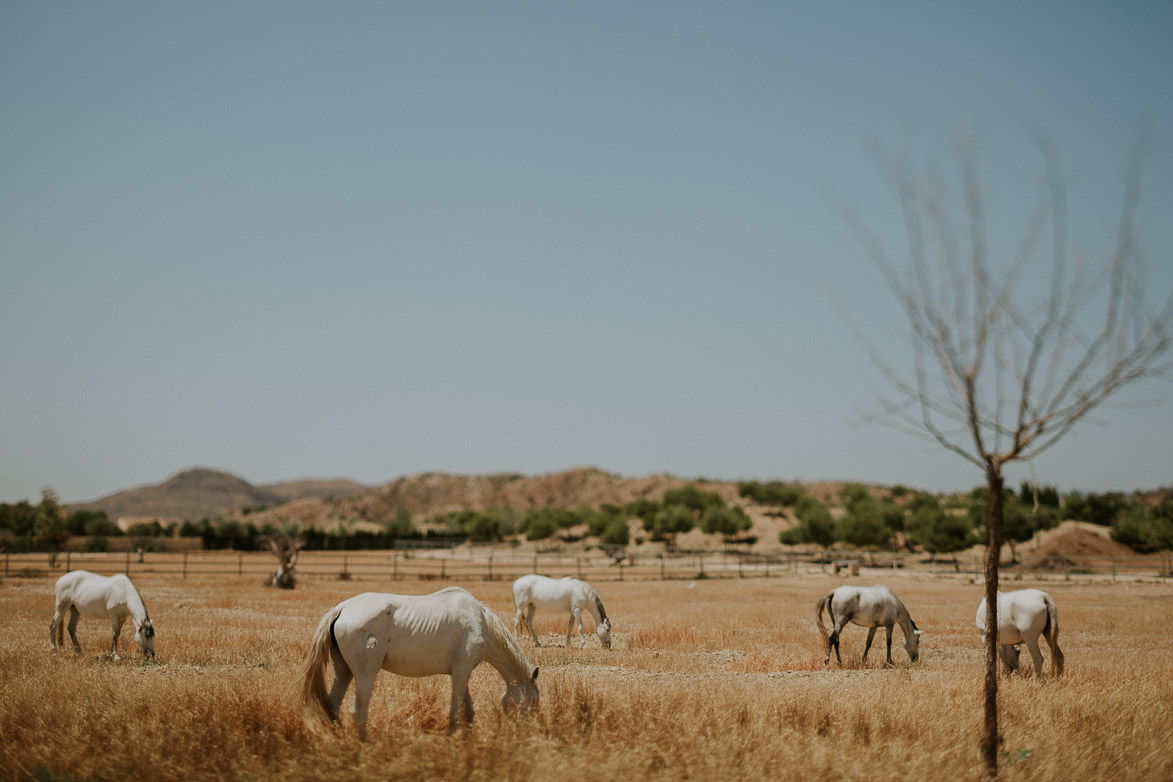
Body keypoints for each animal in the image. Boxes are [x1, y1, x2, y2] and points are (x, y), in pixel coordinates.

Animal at [300, 586, 541, 740]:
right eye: (534, 700)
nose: (528, 731)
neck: (480, 622)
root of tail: (341, 608)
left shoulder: (460, 672)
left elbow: (468, 711)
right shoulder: (462, 672)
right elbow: (455, 711)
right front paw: (450, 740)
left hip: (343, 672)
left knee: (332, 707)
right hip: (364, 676)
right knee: (358, 713)